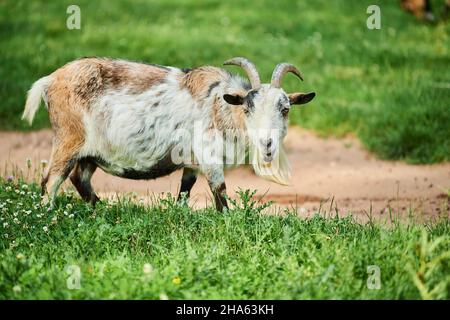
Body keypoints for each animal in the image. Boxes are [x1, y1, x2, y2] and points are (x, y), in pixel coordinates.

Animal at [22, 57, 316, 212]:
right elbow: (219, 192)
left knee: (79, 178)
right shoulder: (209, 156)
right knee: (51, 181)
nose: (267, 143)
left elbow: (185, 190)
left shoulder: (192, 163)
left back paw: (103, 210)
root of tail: (50, 81)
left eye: (285, 109)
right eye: (247, 107)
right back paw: (48, 217)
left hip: (90, 152)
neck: (219, 105)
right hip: (69, 139)